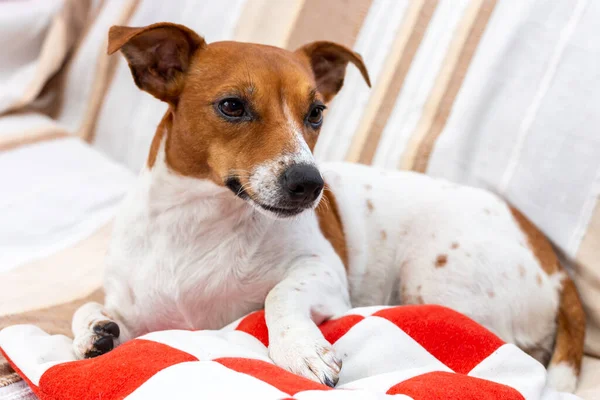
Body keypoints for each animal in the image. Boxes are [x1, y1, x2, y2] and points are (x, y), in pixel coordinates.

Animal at [69, 21, 580, 390]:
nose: (310, 183)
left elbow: (279, 295)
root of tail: (555, 267)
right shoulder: (142, 310)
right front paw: (96, 332)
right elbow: (88, 309)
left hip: (433, 281)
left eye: (316, 112)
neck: (200, 224)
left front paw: (301, 350)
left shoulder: (324, 275)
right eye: (232, 106)